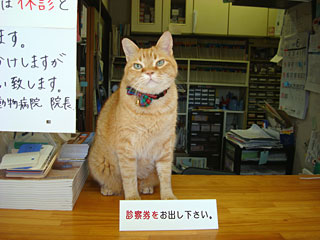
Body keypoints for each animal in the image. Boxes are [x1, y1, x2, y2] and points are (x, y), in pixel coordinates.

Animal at [87, 32, 178, 201]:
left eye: (160, 62)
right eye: (137, 66)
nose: (149, 72)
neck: (152, 106)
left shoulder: (165, 147)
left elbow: (165, 176)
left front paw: (168, 196)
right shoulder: (126, 147)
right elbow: (129, 178)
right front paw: (132, 198)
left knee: (145, 181)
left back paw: (146, 186)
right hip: (99, 164)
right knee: (113, 182)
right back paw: (108, 188)